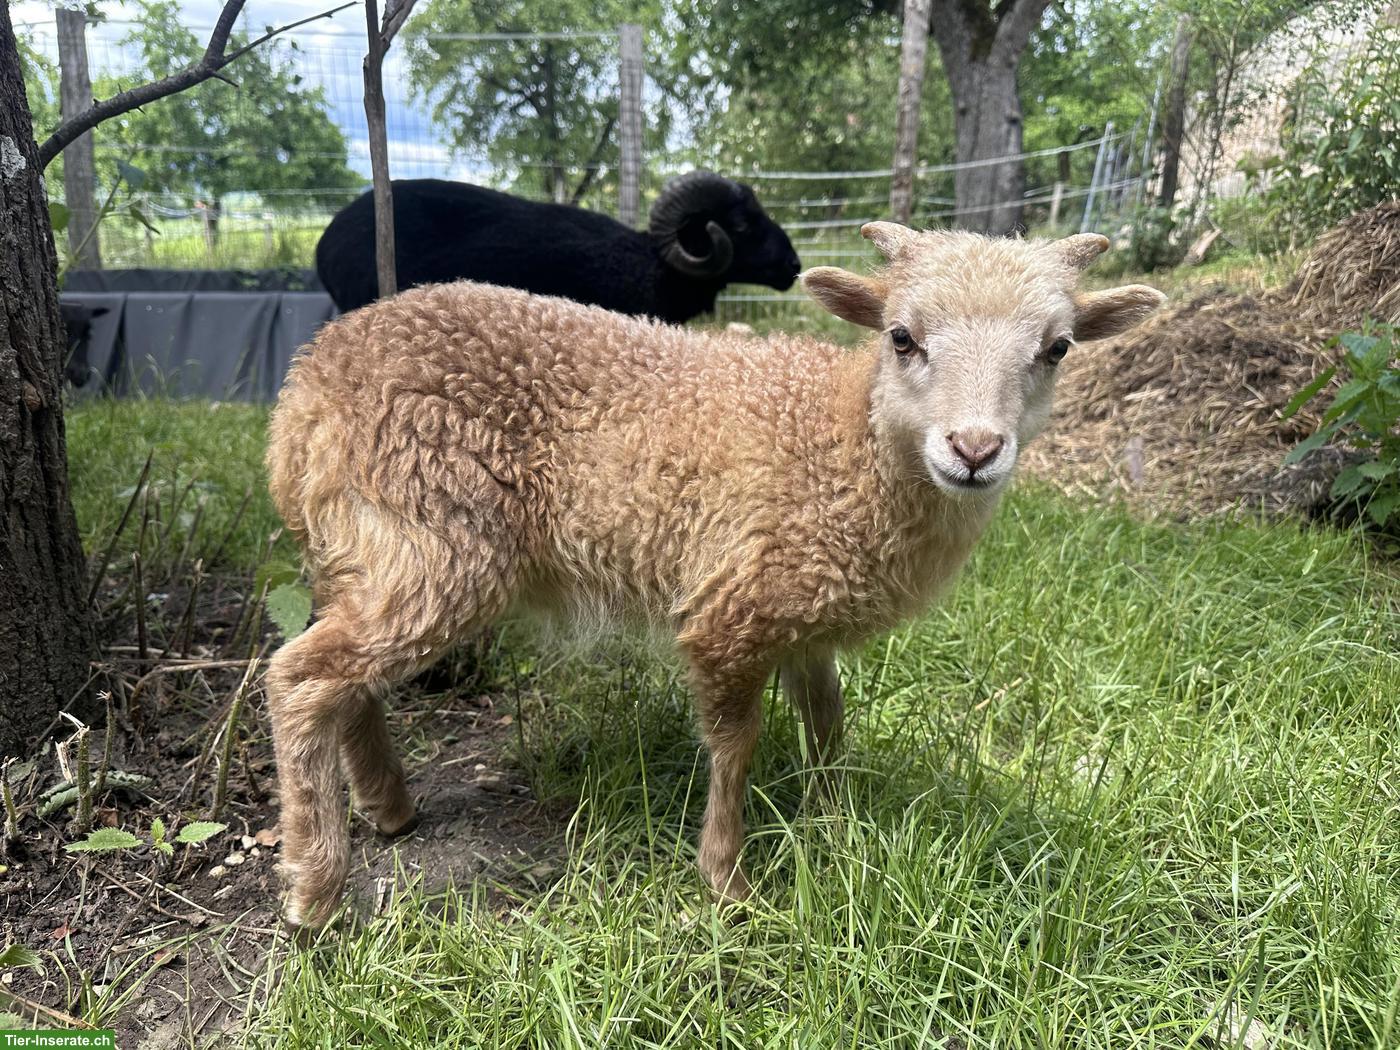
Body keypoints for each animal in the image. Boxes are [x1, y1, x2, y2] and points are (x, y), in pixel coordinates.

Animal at [264, 223, 1165, 926]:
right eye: (901, 338)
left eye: (1057, 349)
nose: (975, 450)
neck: (843, 443)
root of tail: (303, 389)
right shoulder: (732, 612)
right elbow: (737, 744)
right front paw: (727, 879)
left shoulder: (803, 611)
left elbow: (827, 721)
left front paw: (835, 828)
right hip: (431, 540)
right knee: (301, 675)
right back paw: (314, 890)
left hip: (367, 553)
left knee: (345, 674)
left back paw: (388, 809)